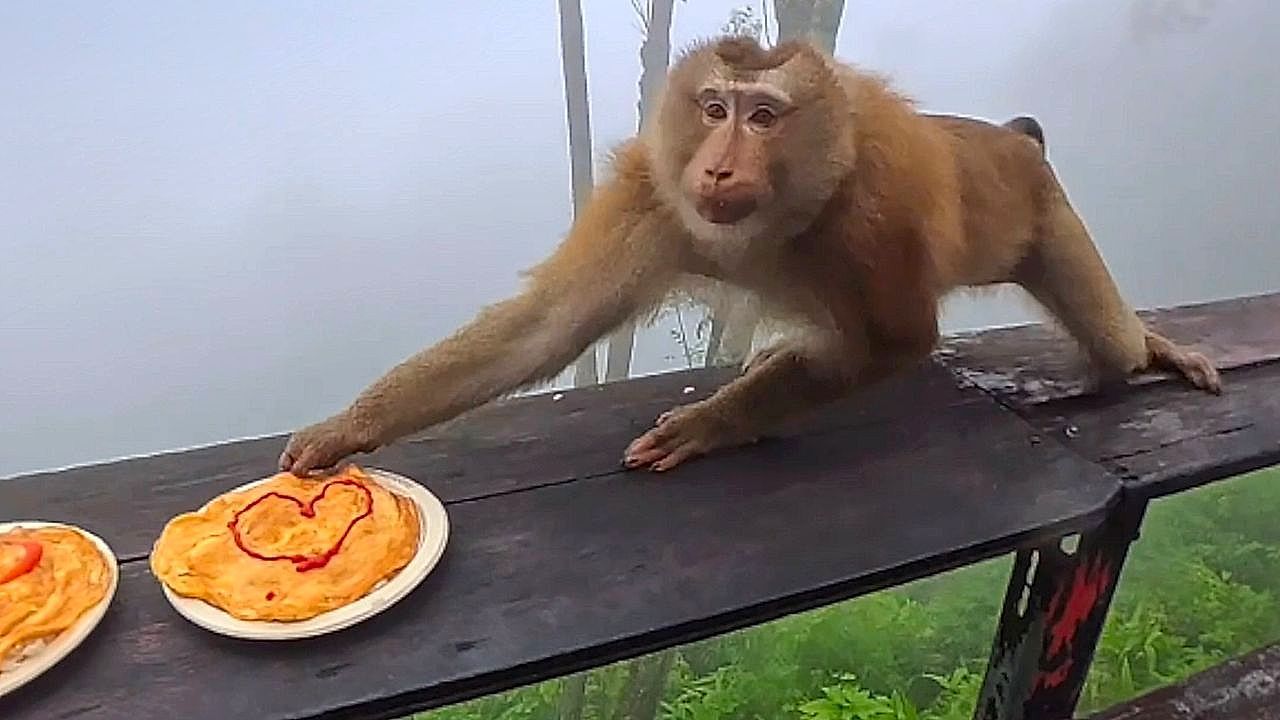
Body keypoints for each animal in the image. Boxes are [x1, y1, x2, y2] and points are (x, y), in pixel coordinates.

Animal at [278, 35, 1221, 477]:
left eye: (763, 117)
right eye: (713, 108)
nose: (721, 164)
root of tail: (1009, 142)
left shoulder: (875, 214)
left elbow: (895, 341)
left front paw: (708, 424)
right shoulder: (653, 196)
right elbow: (545, 327)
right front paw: (343, 431)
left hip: (1045, 216)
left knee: (1112, 342)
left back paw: (1144, 346)